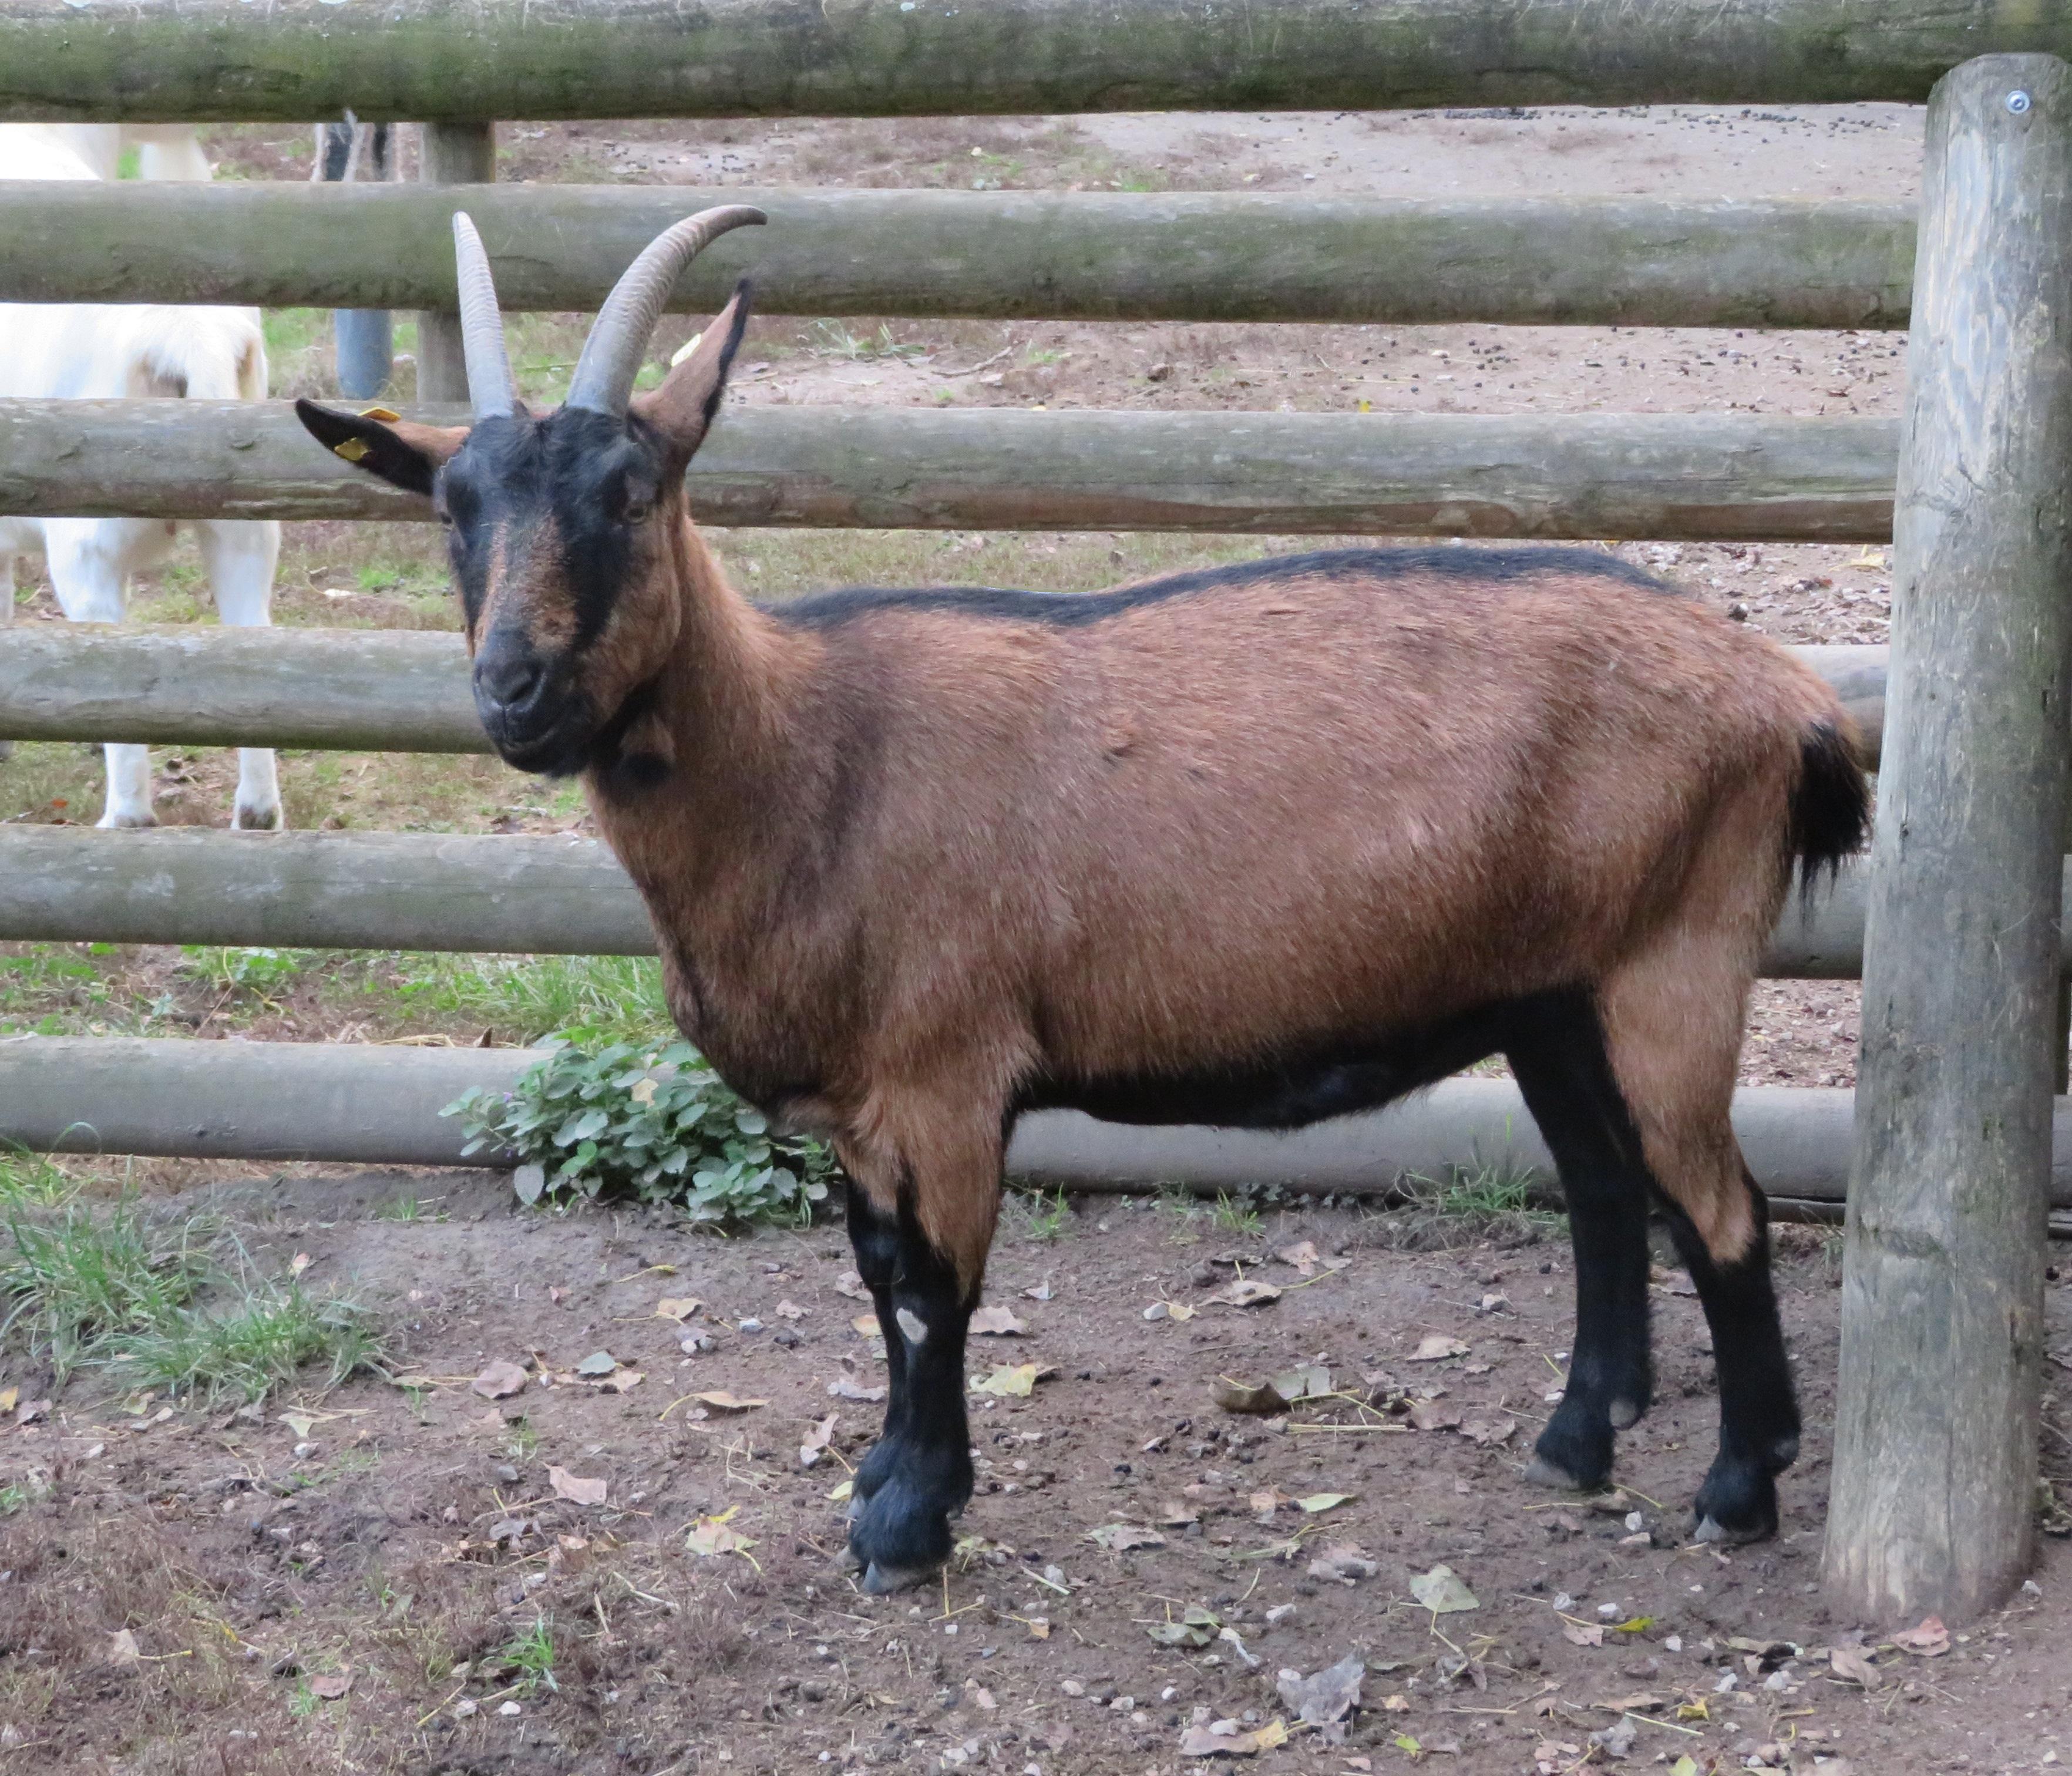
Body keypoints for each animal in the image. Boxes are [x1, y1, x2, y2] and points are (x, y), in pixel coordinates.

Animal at [300, 211, 1873, 1591]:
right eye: (450, 512)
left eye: (632, 492)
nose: (514, 692)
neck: (810, 758)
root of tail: (1784, 693)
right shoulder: (866, 1104)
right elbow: (875, 1276)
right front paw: (886, 1481)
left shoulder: (944, 1072)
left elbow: (932, 1293)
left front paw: (909, 1527)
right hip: (1550, 991)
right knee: (1610, 1188)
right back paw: (1577, 1442)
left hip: (1674, 962)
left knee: (1718, 1206)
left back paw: (1740, 1488)